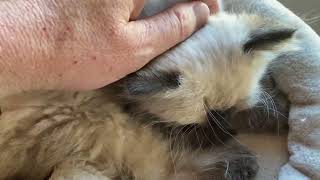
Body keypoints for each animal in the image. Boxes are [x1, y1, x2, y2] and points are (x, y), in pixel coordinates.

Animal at [0, 4, 296, 180]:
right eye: (198, 123)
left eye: (229, 111)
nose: (227, 129)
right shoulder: (159, 133)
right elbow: (193, 151)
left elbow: (256, 112)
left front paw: (283, 116)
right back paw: (242, 166)